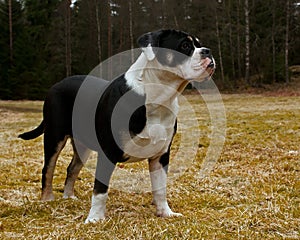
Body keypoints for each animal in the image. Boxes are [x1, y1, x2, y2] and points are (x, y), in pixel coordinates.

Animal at [18, 29, 214, 223]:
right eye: (185, 45)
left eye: (199, 44)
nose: (208, 51)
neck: (156, 97)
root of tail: (58, 84)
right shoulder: (108, 151)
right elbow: (100, 189)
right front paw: (95, 218)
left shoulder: (160, 155)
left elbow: (160, 188)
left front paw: (165, 213)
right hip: (54, 136)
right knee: (48, 168)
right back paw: (47, 200)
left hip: (82, 145)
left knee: (72, 168)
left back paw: (69, 197)